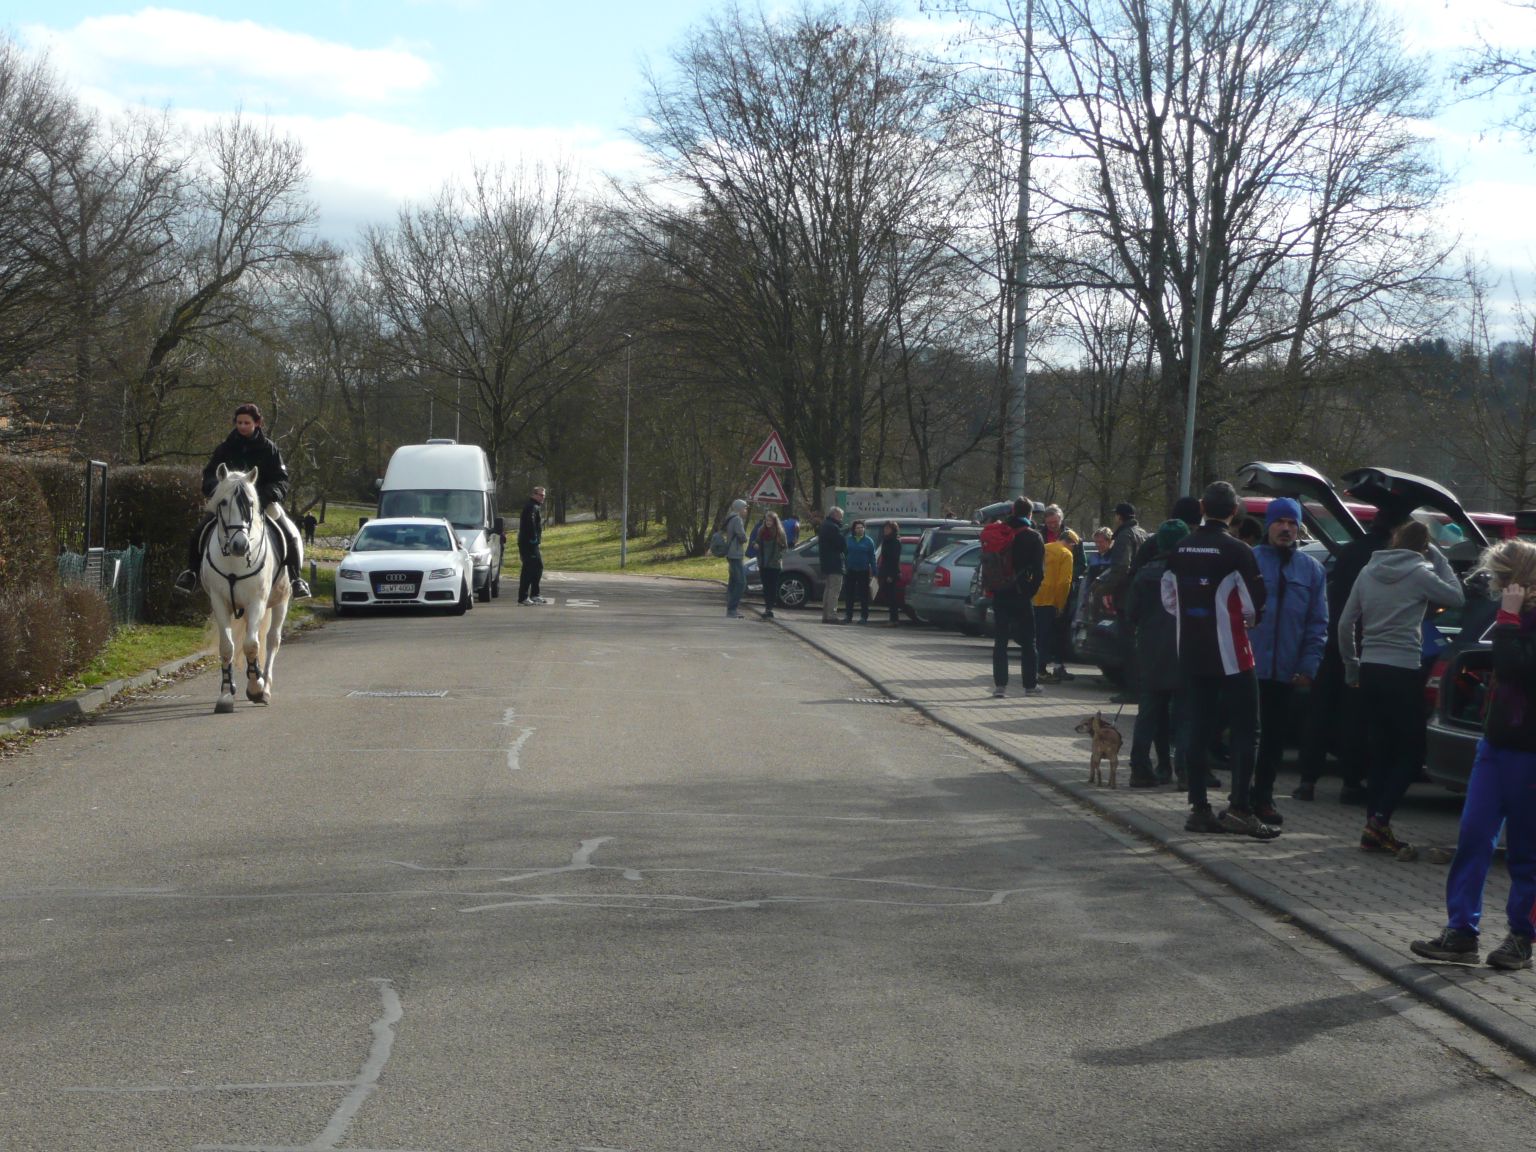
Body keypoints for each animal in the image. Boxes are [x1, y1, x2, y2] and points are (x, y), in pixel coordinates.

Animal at [199, 466, 291, 712]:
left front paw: (256, 688)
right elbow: (227, 647)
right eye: (222, 502)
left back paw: (265, 685)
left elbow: (251, 645)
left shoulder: (256, 602)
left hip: (281, 602)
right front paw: (225, 695)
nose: (240, 545)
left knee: (271, 640)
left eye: (250, 502)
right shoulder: (219, 602)